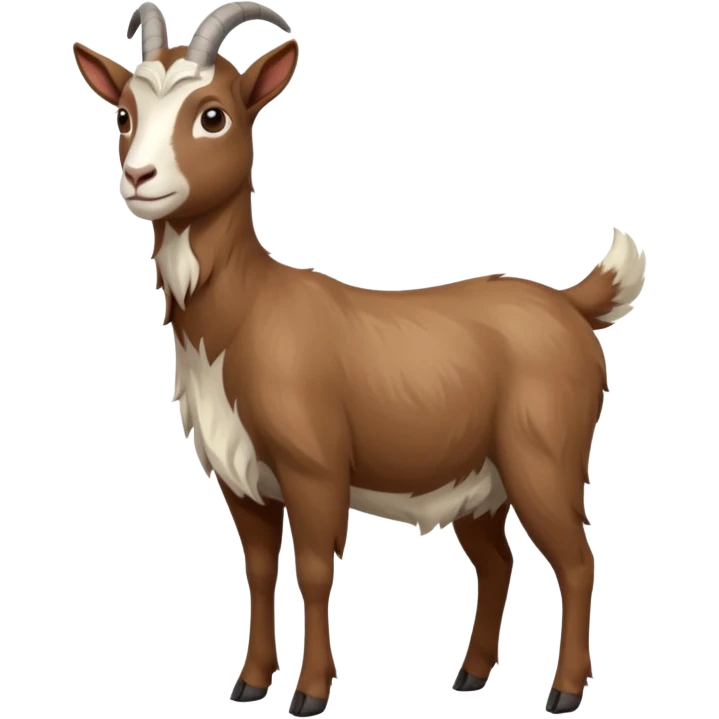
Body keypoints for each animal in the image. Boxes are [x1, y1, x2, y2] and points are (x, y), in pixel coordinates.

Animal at [72, 2, 647, 716]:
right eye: (124, 114)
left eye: (213, 115)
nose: (138, 178)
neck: (249, 314)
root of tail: (570, 304)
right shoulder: (241, 479)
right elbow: (258, 570)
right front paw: (249, 683)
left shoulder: (314, 468)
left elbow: (316, 570)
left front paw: (310, 693)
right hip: (480, 480)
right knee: (498, 562)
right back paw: (470, 675)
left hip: (545, 456)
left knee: (576, 558)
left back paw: (564, 692)